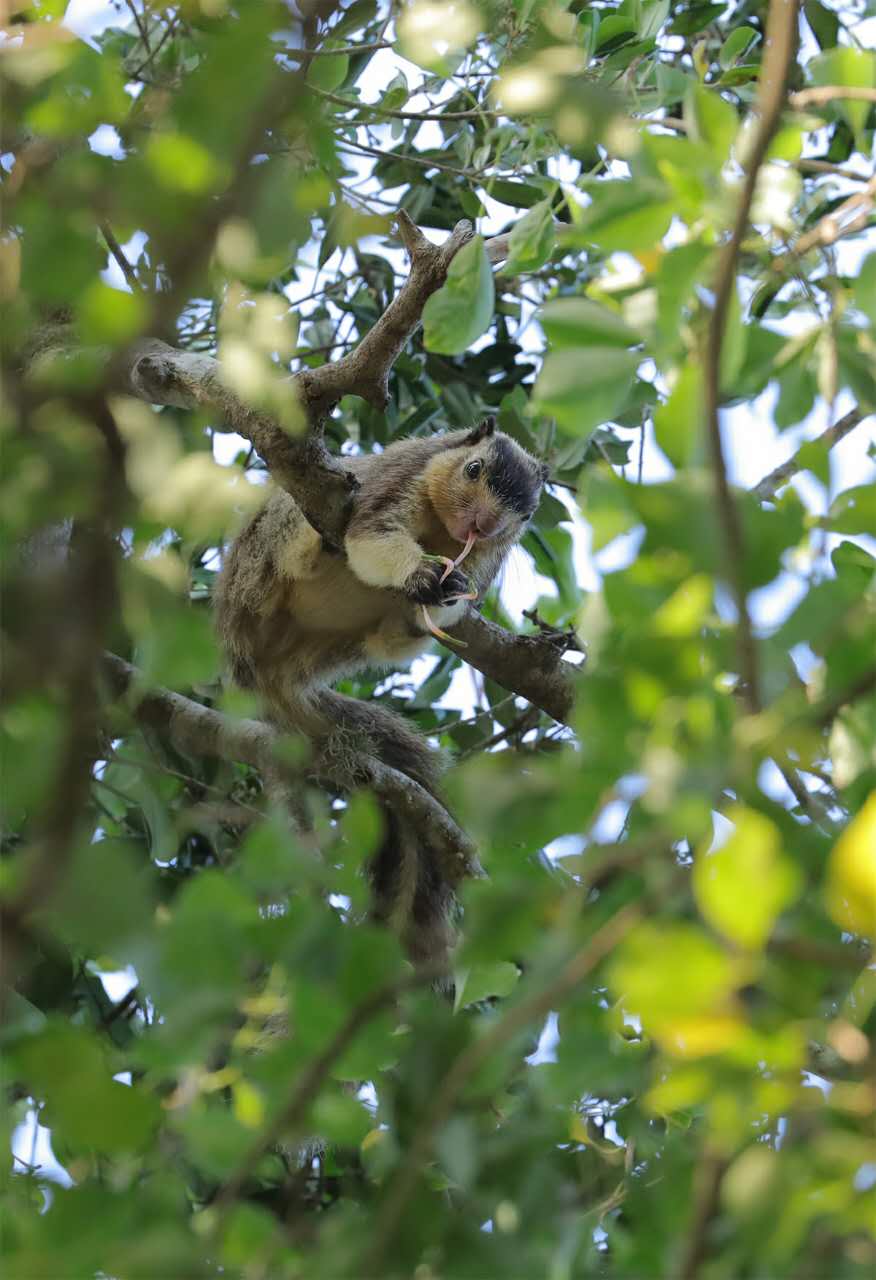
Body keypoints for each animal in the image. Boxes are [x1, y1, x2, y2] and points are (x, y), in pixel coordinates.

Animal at [215, 414, 548, 962]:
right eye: (474, 469)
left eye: (526, 512)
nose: (481, 525)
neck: (439, 527)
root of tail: (262, 671)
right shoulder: (392, 485)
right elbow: (372, 536)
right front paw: (418, 571)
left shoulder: (483, 565)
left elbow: (452, 604)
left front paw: (442, 595)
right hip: (261, 560)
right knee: (292, 546)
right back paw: (309, 547)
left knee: (391, 639)